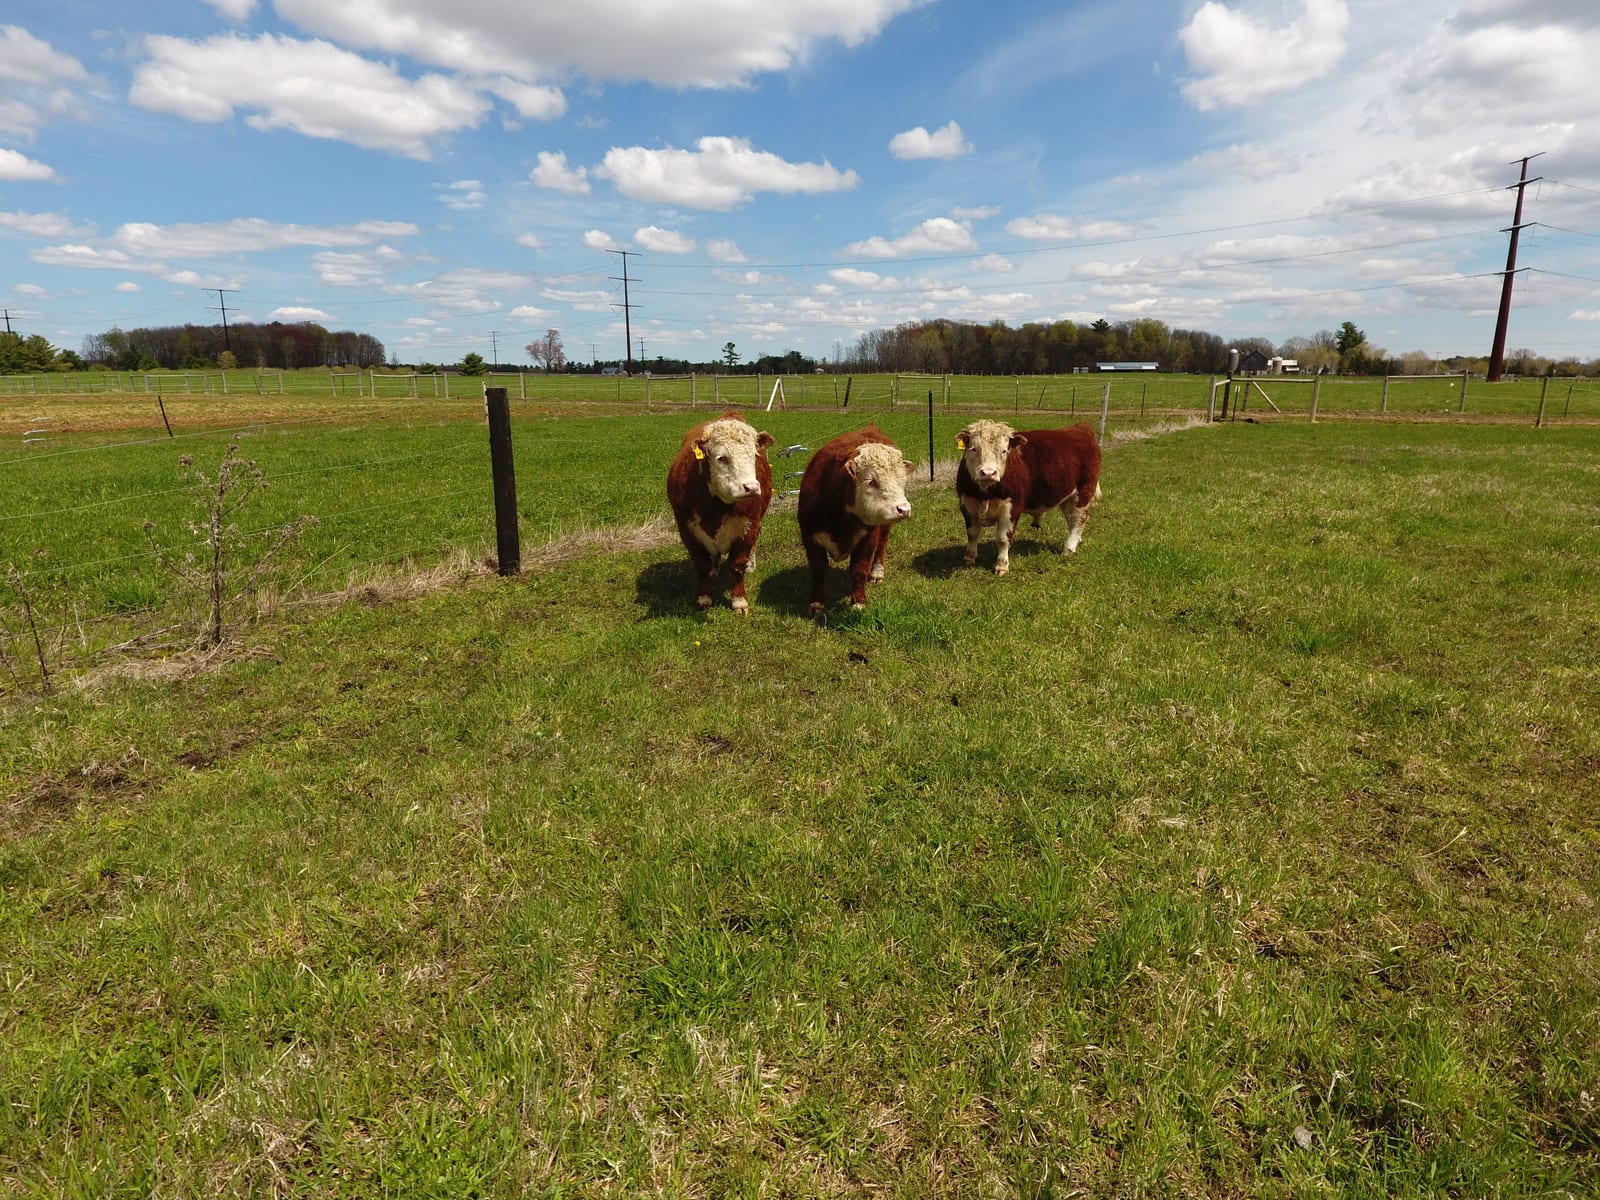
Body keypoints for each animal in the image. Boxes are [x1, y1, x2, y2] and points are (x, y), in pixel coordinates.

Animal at [666, 411, 774, 614]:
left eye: (753, 455)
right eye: (722, 457)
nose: (751, 487)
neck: (715, 508)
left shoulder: (749, 528)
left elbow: (736, 566)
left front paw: (739, 601)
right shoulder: (686, 529)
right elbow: (701, 565)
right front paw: (703, 598)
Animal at [797, 425, 915, 613]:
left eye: (902, 480)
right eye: (871, 481)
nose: (904, 509)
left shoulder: (868, 537)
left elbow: (859, 570)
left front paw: (858, 602)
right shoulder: (809, 535)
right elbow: (819, 570)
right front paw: (816, 603)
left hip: (884, 527)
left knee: (882, 545)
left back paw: (877, 573)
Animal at [954, 419, 1102, 575]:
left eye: (1004, 451)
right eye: (973, 449)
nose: (988, 473)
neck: (985, 493)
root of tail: (1081, 427)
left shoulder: (1011, 509)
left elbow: (1003, 538)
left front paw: (1001, 565)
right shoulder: (966, 505)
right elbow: (972, 534)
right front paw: (969, 558)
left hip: (1083, 493)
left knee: (1078, 520)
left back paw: (1069, 548)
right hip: (1068, 497)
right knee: (1072, 519)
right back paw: (1077, 540)